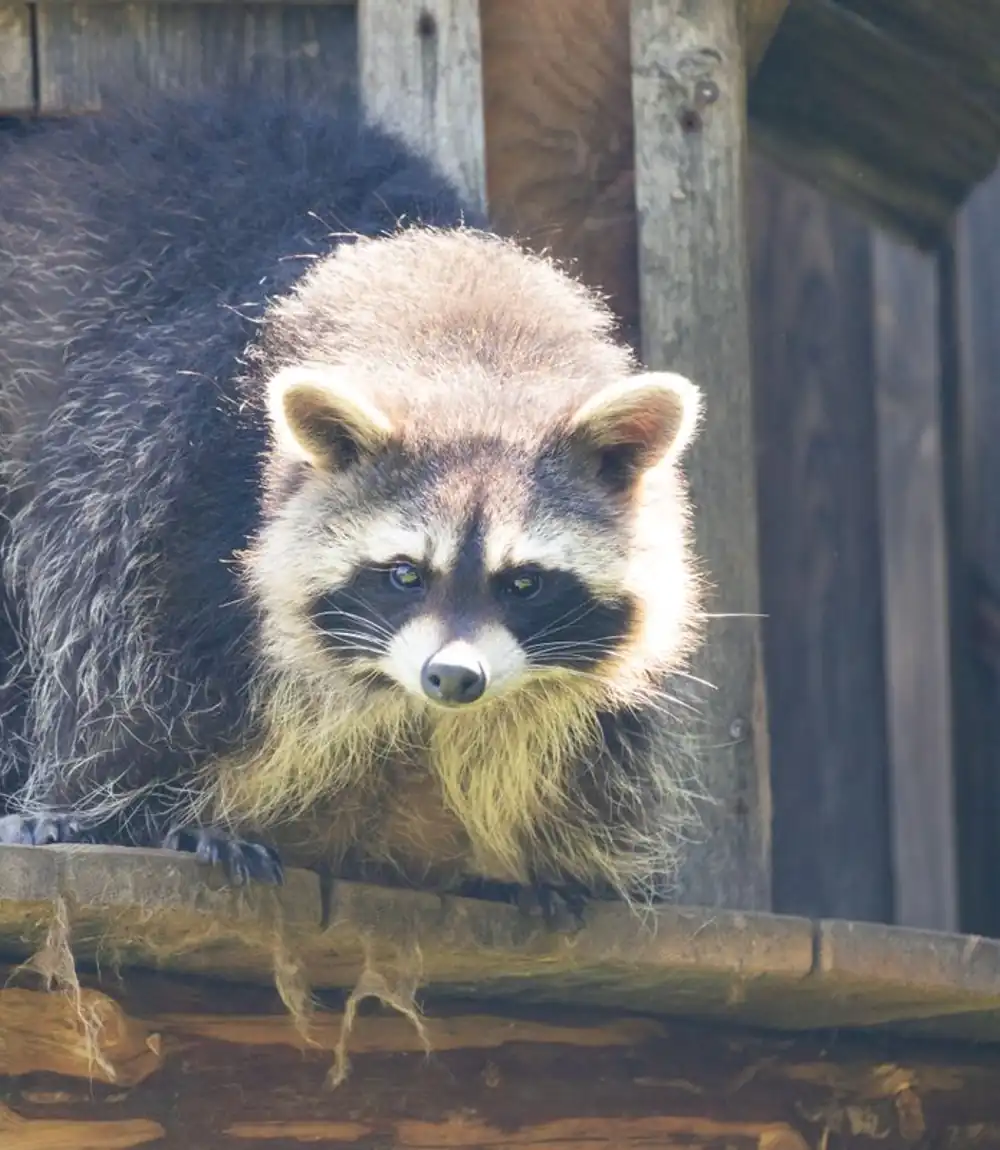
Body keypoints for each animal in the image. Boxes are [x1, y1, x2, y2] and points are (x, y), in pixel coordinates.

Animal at [0, 90, 705, 909]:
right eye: (404, 573)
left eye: (525, 582)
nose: (453, 677)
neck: (477, 359)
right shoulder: (163, 476)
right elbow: (118, 683)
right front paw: (136, 810)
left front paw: (537, 861)